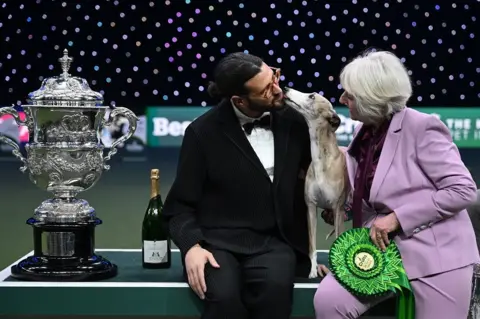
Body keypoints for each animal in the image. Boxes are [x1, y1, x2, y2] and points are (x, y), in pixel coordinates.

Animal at [284, 87, 346, 280]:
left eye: (312, 96)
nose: (285, 88)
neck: (323, 161)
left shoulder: (337, 209)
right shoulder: (310, 207)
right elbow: (311, 247)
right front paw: (312, 271)